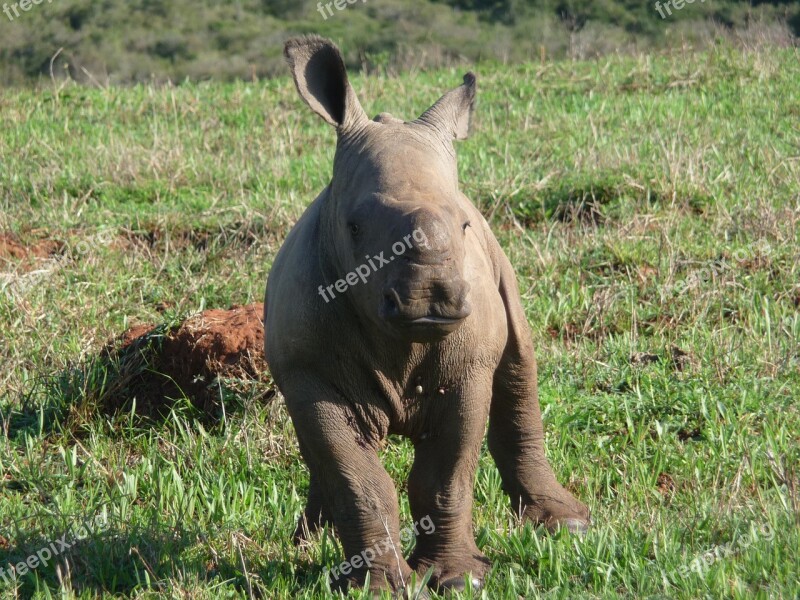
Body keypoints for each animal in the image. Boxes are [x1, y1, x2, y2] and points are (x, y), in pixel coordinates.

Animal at [266, 36, 592, 596]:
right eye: (354, 227)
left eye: (463, 223)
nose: (429, 298)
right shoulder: (309, 371)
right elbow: (357, 478)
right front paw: (374, 586)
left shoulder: (467, 368)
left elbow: (445, 474)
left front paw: (459, 579)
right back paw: (307, 541)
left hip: (502, 271)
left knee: (518, 365)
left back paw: (567, 526)